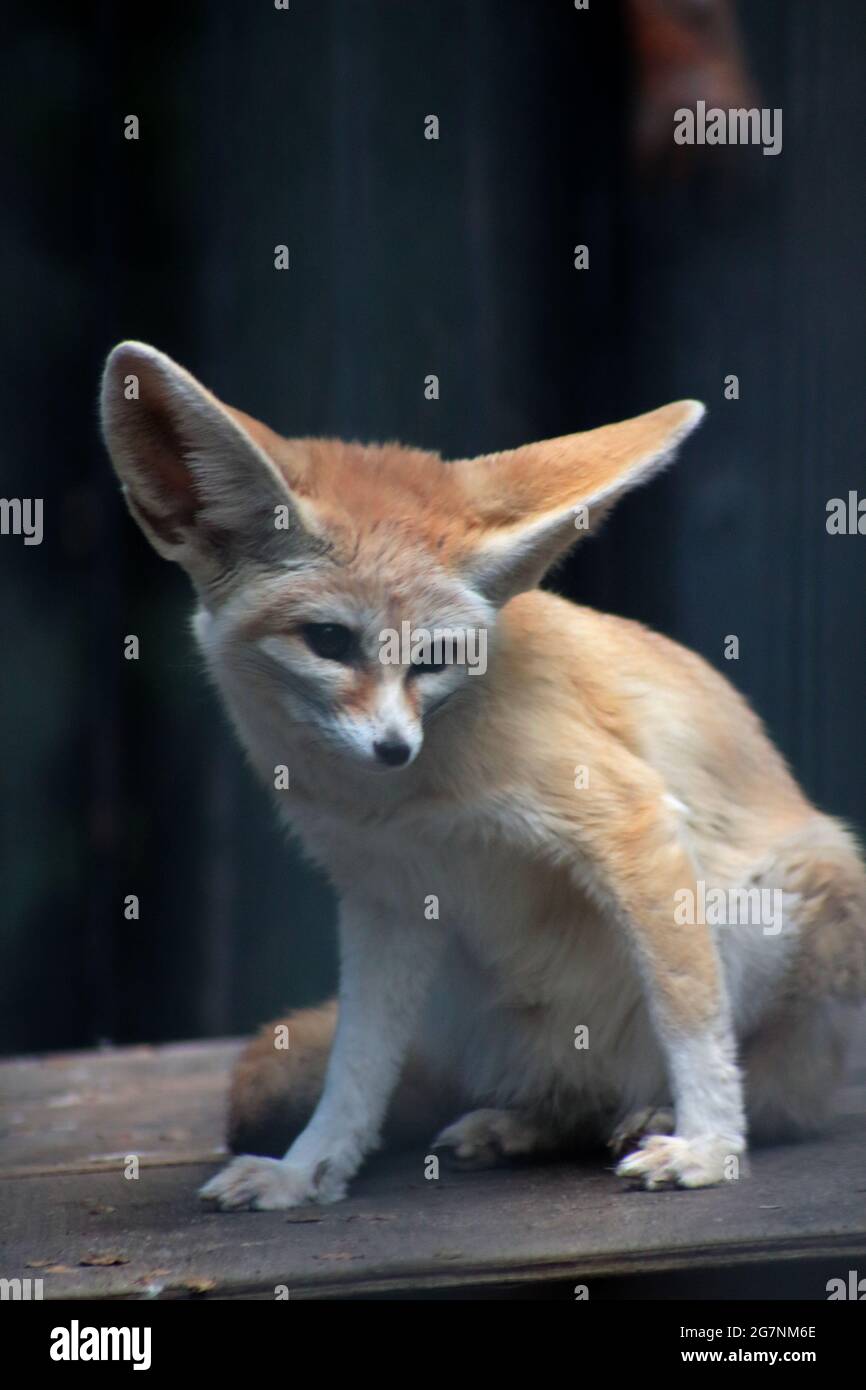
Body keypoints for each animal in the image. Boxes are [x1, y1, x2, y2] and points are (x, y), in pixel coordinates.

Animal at [103, 344, 866, 1206]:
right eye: (329, 641)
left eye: (436, 657)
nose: (392, 747)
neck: (401, 800)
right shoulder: (388, 897)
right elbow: (356, 1066)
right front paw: (309, 1169)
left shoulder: (629, 822)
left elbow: (691, 1018)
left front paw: (708, 1146)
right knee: (570, 1097)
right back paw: (524, 1124)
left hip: (777, 903)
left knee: (762, 1092)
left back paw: (669, 1115)